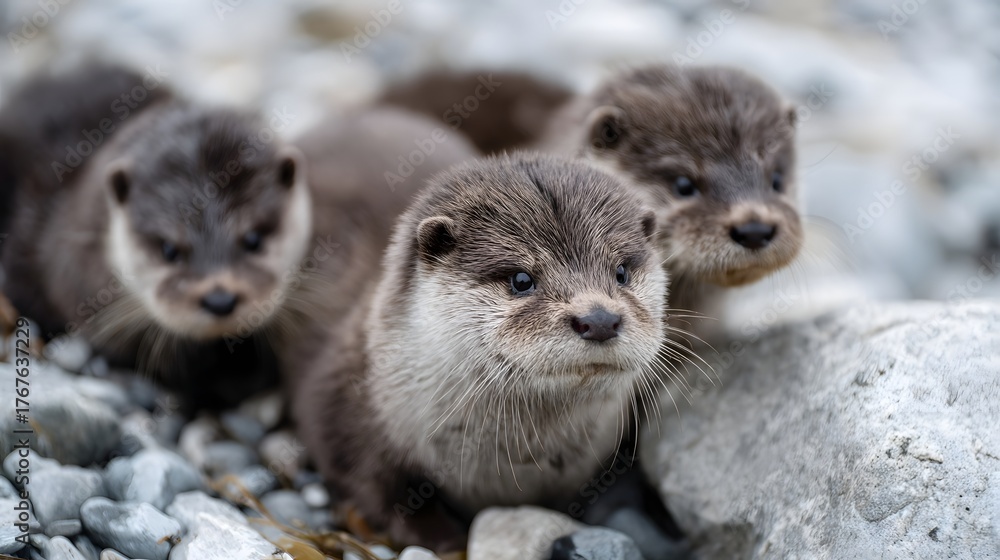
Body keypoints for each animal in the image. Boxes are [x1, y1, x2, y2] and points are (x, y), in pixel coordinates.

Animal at [291, 153, 668, 552]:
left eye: (621, 271)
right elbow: (373, 485)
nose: (599, 319)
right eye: (521, 279)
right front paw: (442, 537)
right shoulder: (343, 411)